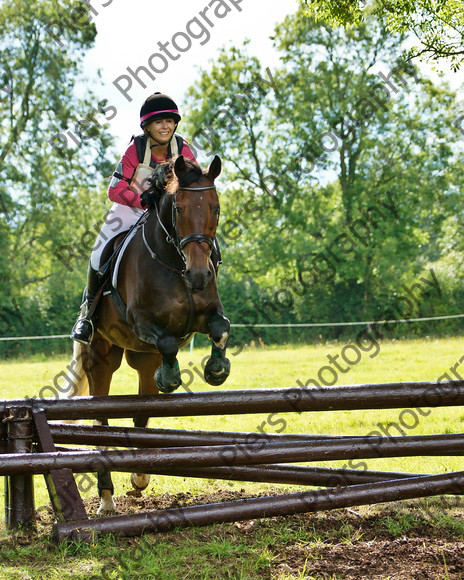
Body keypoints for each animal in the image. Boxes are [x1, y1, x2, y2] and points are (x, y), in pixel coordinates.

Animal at [64, 154, 231, 512]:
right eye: (179, 209)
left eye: (216, 208)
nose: (199, 275)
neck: (176, 263)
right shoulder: (140, 320)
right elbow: (167, 340)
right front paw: (171, 378)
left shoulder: (205, 315)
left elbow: (220, 328)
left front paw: (216, 370)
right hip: (101, 358)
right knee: (101, 424)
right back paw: (106, 499)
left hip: (143, 358)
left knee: (141, 415)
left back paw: (139, 477)